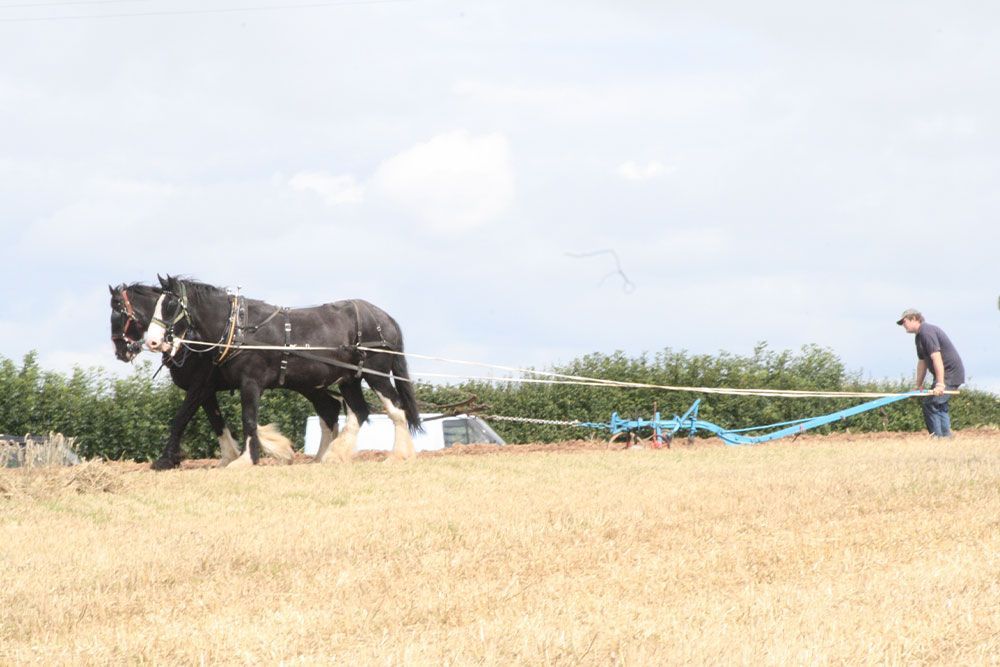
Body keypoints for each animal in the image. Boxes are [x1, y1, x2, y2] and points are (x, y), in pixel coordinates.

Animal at [110, 283, 345, 469]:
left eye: (119, 313)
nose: (121, 351)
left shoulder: (202, 386)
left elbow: (181, 418)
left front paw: (166, 459)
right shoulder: (207, 391)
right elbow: (217, 421)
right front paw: (233, 455)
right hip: (309, 384)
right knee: (330, 408)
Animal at [142, 275, 421, 467]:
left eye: (170, 306)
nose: (152, 341)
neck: (239, 329)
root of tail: (384, 317)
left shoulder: (248, 382)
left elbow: (247, 418)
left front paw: (246, 459)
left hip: (375, 372)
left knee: (396, 409)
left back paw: (397, 455)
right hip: (348, 378)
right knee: (357, 412)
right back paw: (331, 455)